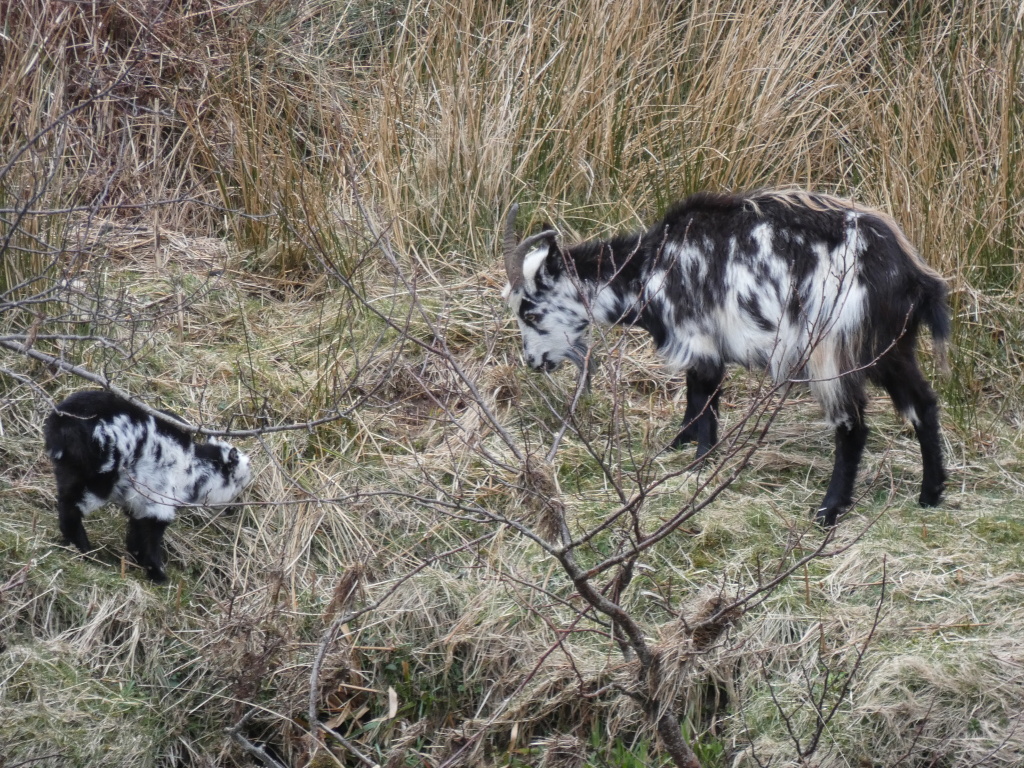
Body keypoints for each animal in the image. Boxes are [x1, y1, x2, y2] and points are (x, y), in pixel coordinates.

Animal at [44, 389, 252, 582]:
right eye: (240, 479)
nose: (234, 507)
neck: (193, 469)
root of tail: (62, 420)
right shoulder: (159, 502)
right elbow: (149, 540)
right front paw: (158, 576)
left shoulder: (139, 504)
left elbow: (136, 537)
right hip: (98, 476)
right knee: (72, 509)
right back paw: (84, 551)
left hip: (70, 470)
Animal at [501, 189, 950, 526]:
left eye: (531, 312)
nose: (533, 363)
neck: (651, 268)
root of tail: (912, 277)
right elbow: (697, 397)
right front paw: (676, 447)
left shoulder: (699, 337)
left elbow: (703, 398)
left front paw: (698, 465)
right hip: (891, 350)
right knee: (923, 404)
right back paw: (931, 494)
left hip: (832, 351)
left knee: (852, 425)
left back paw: (828, 510)